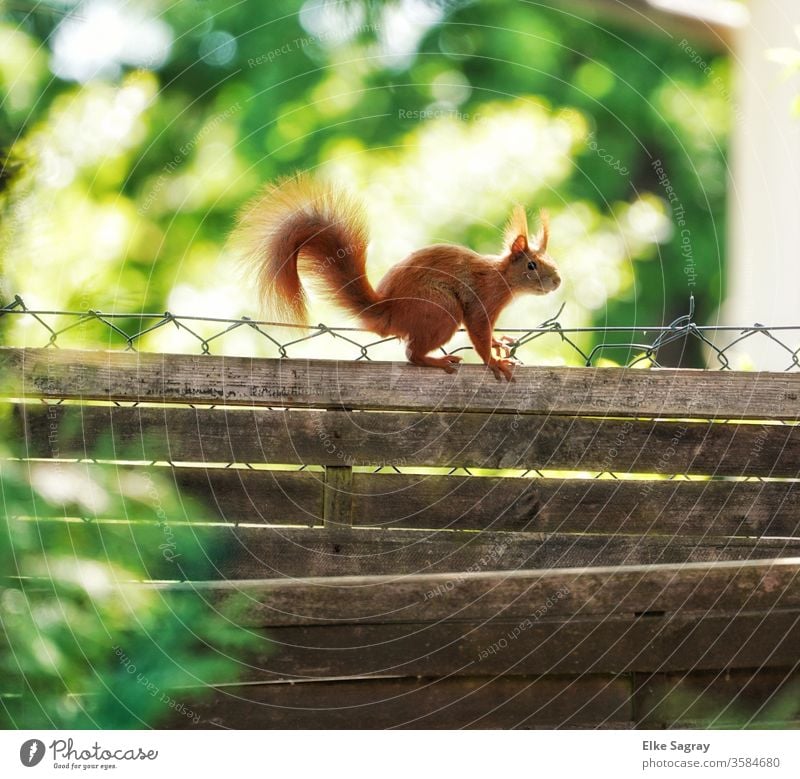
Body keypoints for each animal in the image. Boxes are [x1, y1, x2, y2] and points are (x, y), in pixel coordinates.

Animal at [228, 177, 560, 384]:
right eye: (532, 265)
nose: (557, 281)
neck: (502, 278)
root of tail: (389, 311)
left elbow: (486, 334)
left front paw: (499, 342)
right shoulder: (482, 300)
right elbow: (478, 330)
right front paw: (494, 361)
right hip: (442, 310)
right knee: (412, 354)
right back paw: (437, 361)